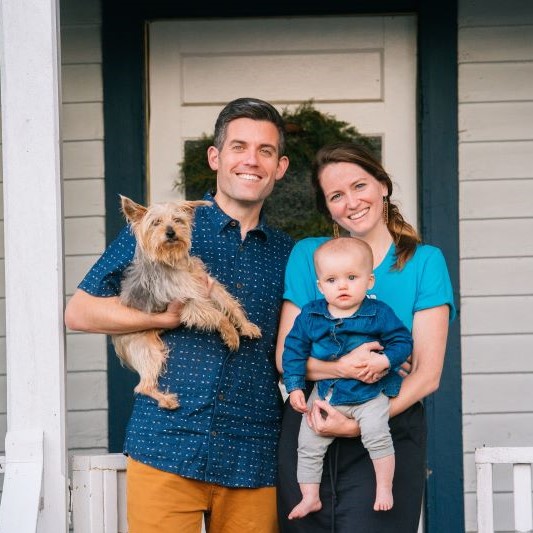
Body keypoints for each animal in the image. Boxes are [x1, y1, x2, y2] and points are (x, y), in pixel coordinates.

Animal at [112, 195, 262, 408]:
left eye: (177, 220)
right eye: (156, 223)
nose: (170, 232)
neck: (175, 262)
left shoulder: (207, 286)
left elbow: (230, 304)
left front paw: (246, 326)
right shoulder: (189, 304)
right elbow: (218, 316)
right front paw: (232, 335)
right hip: (149, 351)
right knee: (143, 386)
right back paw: (166, 400)